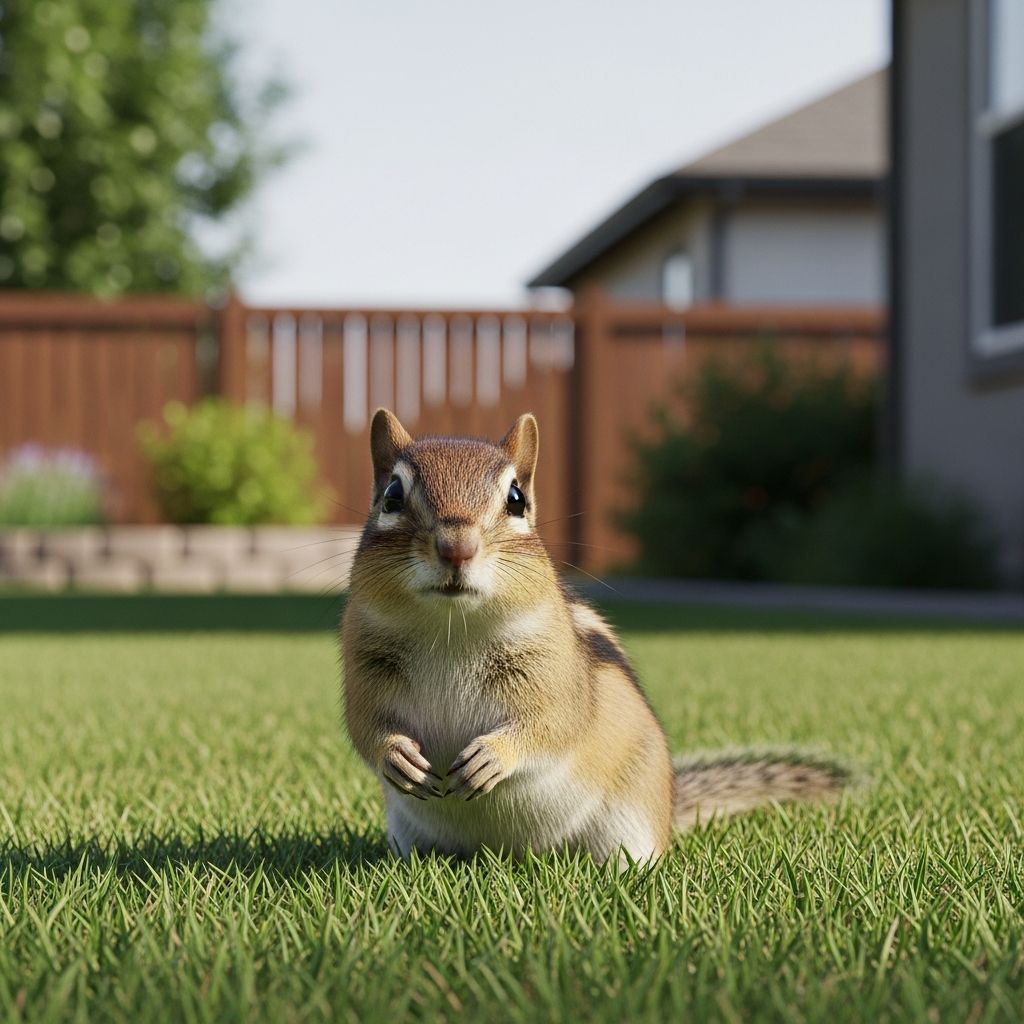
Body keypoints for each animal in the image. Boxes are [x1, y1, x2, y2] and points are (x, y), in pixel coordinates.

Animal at [342, 409, 849, 864]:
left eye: (516, 499)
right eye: (392, 496)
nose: (457, 548)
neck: (449, 632)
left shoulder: (557, 678)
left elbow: (552, 724)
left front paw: (494, 756)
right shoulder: (363, 676)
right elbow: (365, 728)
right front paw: (395, 756)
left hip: (630, 822)